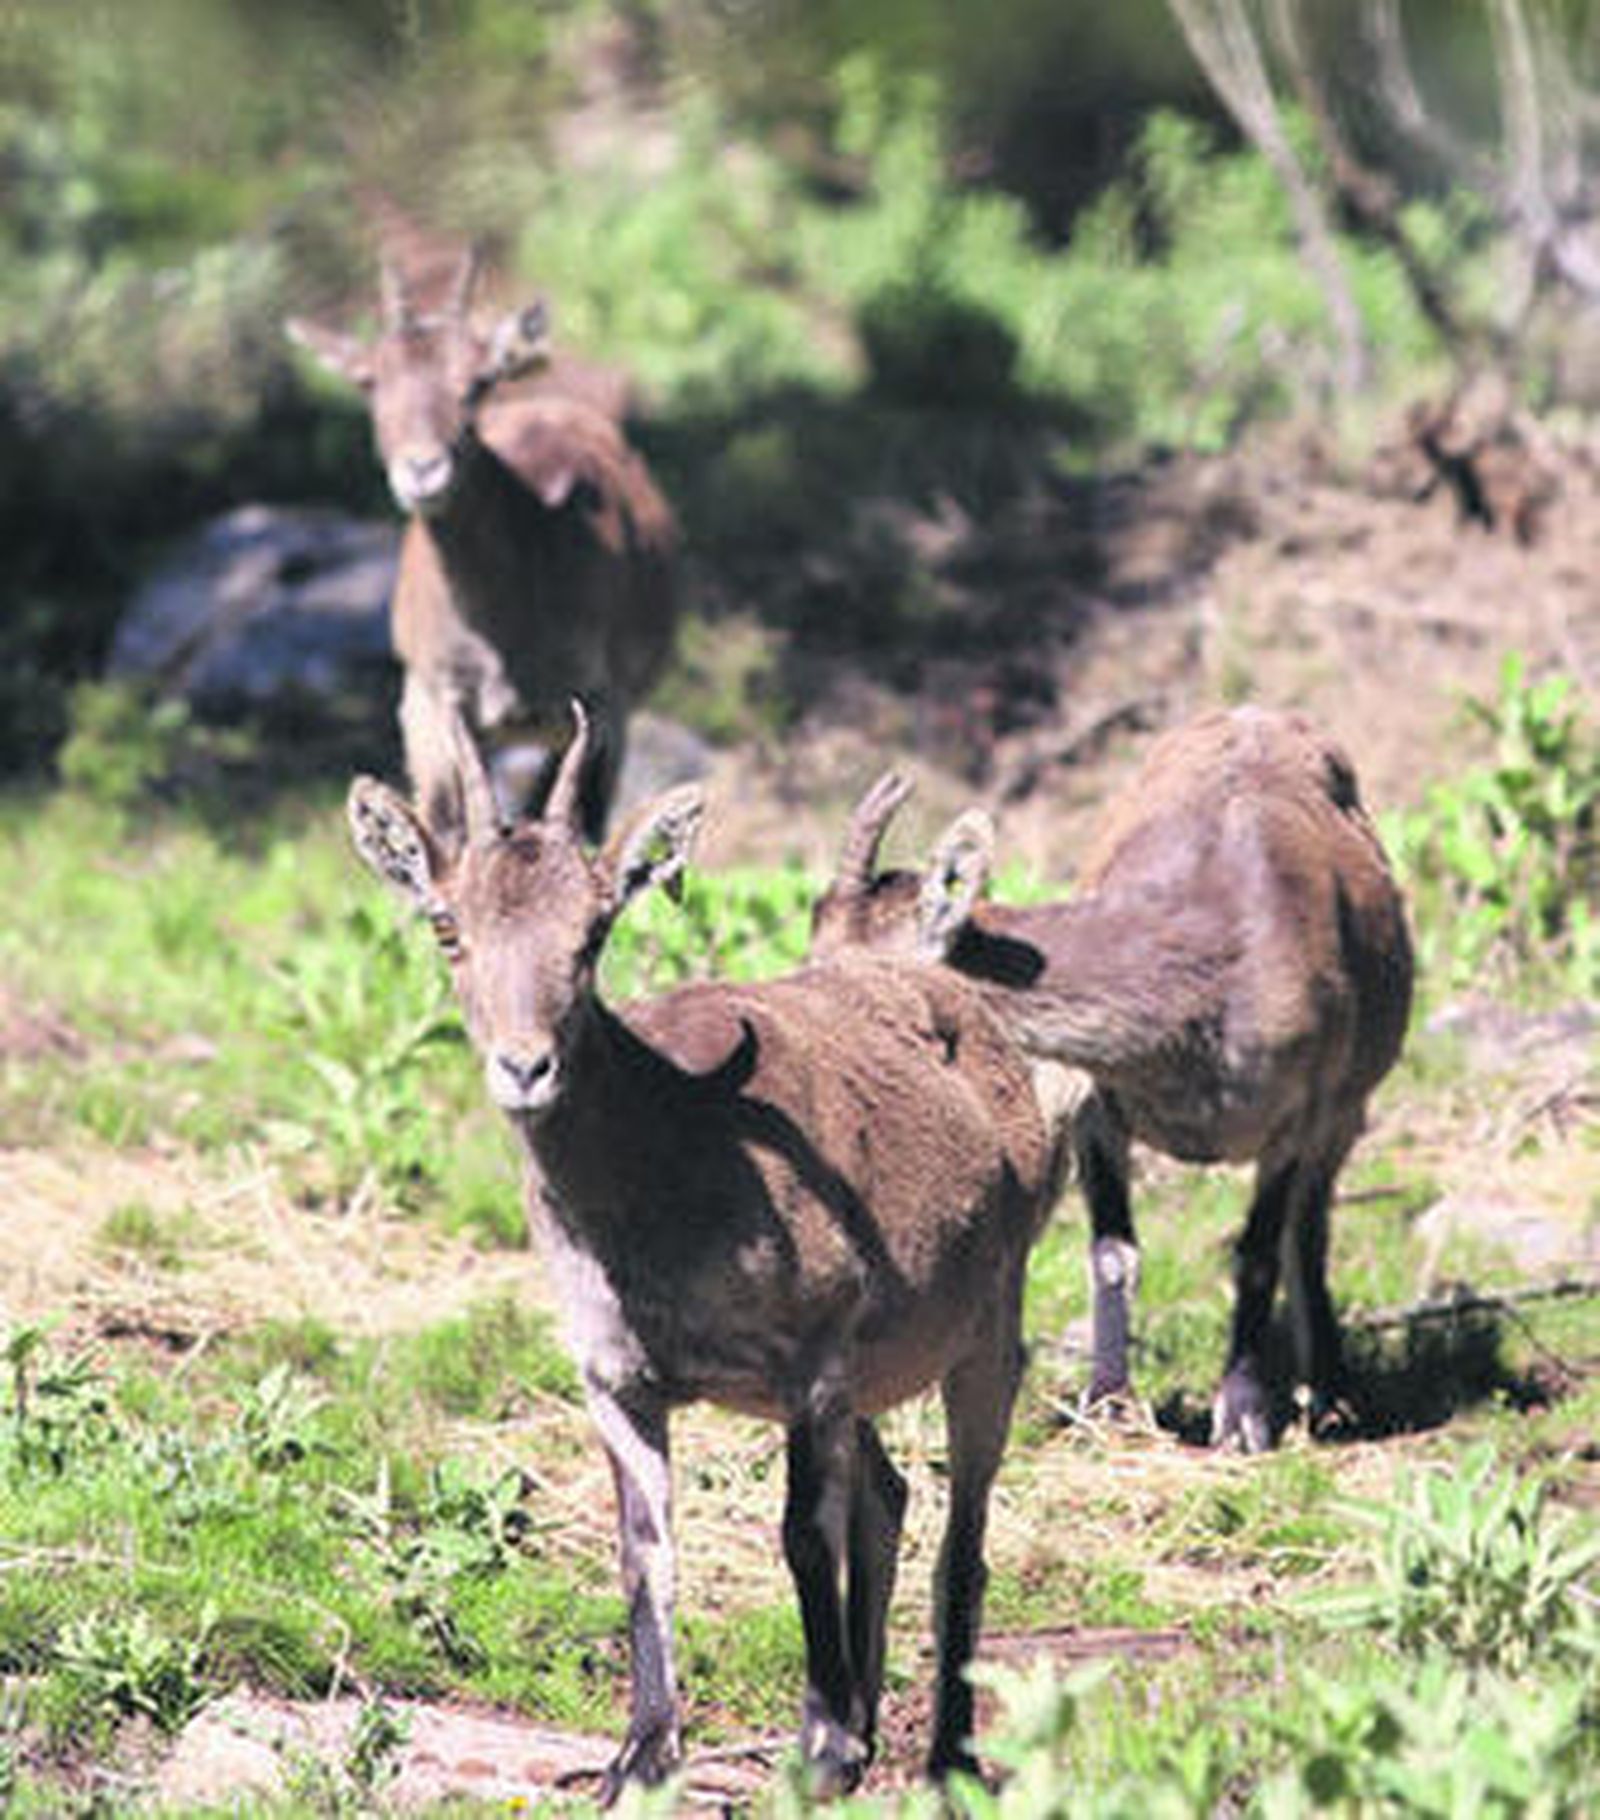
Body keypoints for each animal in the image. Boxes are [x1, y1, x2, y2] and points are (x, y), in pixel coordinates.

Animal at [288, 248, 678, 844]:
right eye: (368, 380)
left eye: (478, 381)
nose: (423, 471)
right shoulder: (429, 701)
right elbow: (444, 827)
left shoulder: (604, 704)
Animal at [346, 704, 1061, 1799]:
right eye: (445, 926)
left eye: (594, 932)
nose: (524, 1065)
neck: (670, 1163)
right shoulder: (616, 1378)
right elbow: (645, 1547)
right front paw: (642, 1753)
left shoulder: (812, 1364)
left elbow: (802, 1537)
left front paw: (819, 1750)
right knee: (888, 1495)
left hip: (990, 1324)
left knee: (962, 1535)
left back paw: (942, 1752)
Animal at [811, 707, 1413, 1452]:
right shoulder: (1097, 1097)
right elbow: (1111, 1253)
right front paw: (1106, 1404)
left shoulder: (1295, 1114)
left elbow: (1258, 1254)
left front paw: (1244, 1415)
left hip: (1349, 1106)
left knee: (1310, 1228)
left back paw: (1330, 1389)